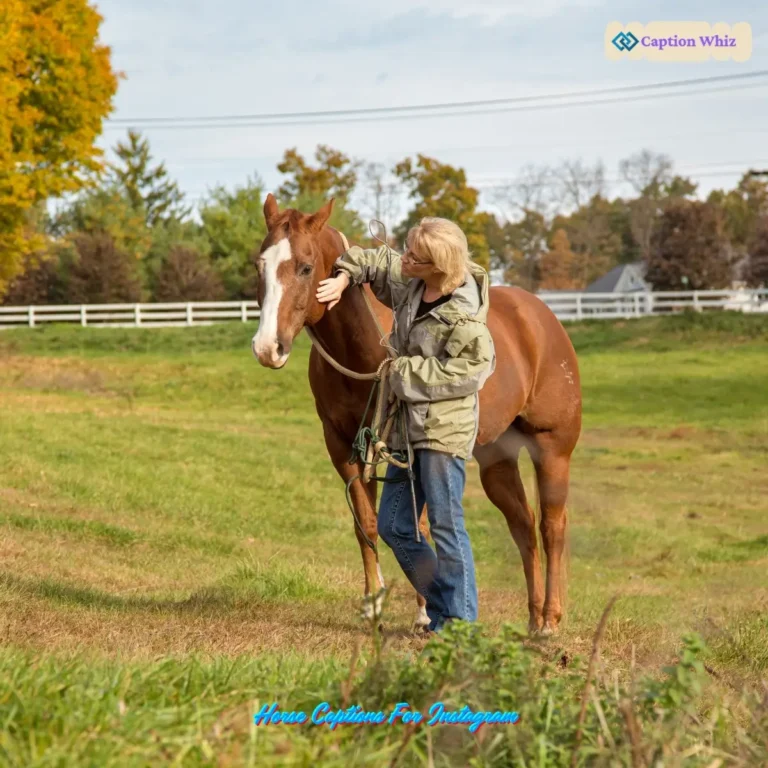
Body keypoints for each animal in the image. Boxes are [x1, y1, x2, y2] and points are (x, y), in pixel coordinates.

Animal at [251, 193, 582, 635]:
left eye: (305, 267)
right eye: (260, 264)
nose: (267, 347)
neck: (362, 347)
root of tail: (543, 318)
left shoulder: (407, 450)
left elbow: (420, 526)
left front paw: (426, 611)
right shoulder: (343, 445)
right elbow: (368, 524)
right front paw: (373, 603)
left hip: (553, 450)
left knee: (552, 527)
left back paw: (550, 620)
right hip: (496, 459)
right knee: (524, 526)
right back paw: (532, 617)